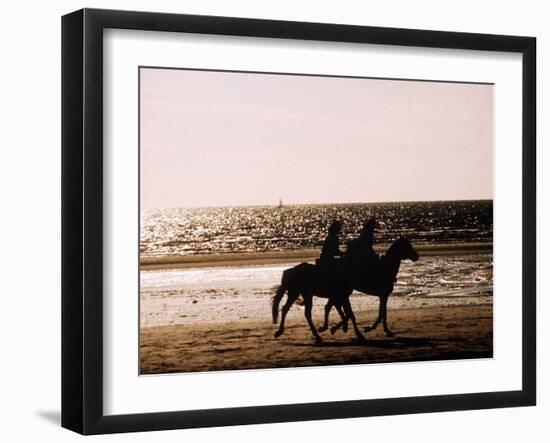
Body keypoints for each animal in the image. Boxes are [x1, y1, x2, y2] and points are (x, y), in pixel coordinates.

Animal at [274, 236, 420, 344]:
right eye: (407, 245)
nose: (416, 256)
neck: (385, 268)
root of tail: (291, 270)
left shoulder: (379, 296)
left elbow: (380, 314)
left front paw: (382, 330)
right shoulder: (382, 295)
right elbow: (373, 314)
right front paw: (366, 330)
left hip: (300, 293)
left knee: (290, 309)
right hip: (304, 293)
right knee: (305, 312)